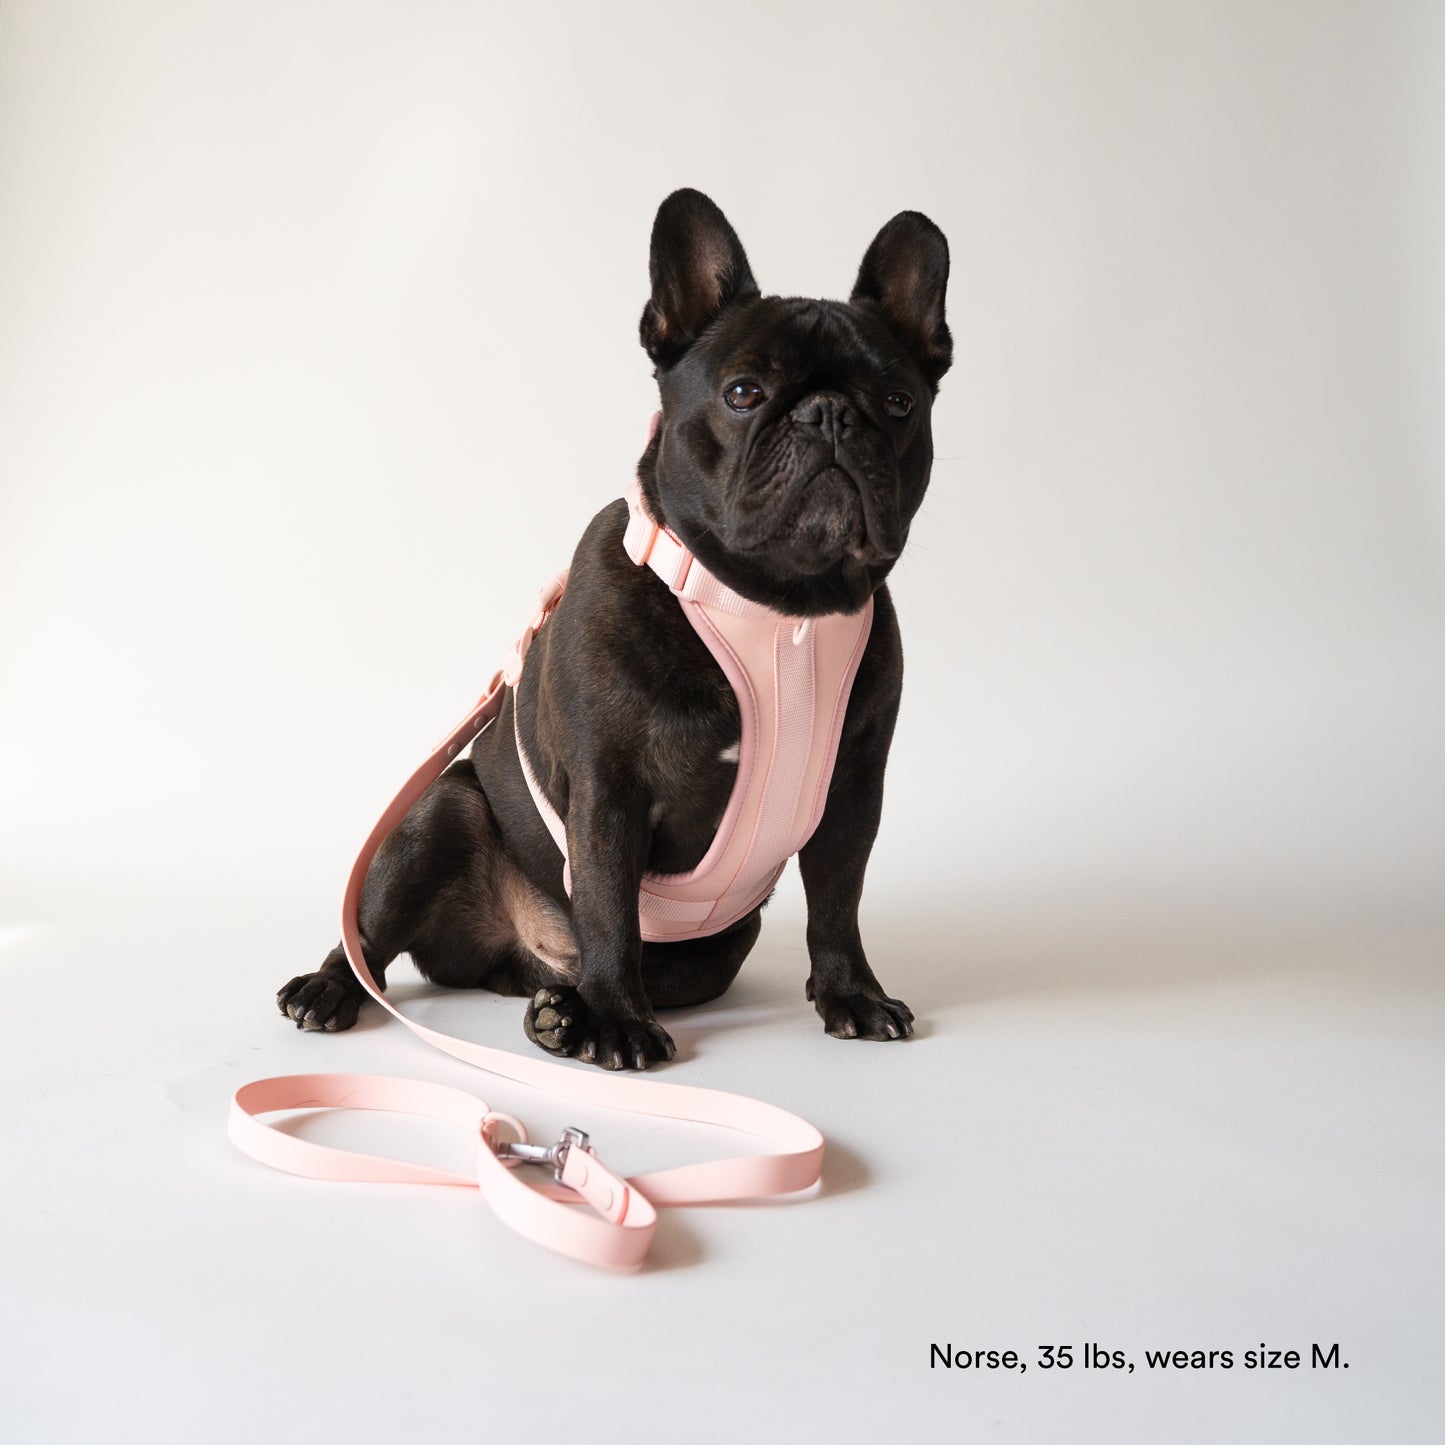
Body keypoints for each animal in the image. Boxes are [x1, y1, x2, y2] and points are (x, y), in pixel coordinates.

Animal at [275, 189, 953, 1075]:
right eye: (743, 392)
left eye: (900, 403)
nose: (829, 414)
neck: (778, 610)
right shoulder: (609, 789)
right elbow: (606, 903)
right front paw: (619, 1022)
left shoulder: (851, 791)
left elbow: (838, 900)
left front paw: (852, 995)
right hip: (438, 811)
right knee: (371, 938)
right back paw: (338, 990)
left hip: (711, 951)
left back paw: (560, 1011)